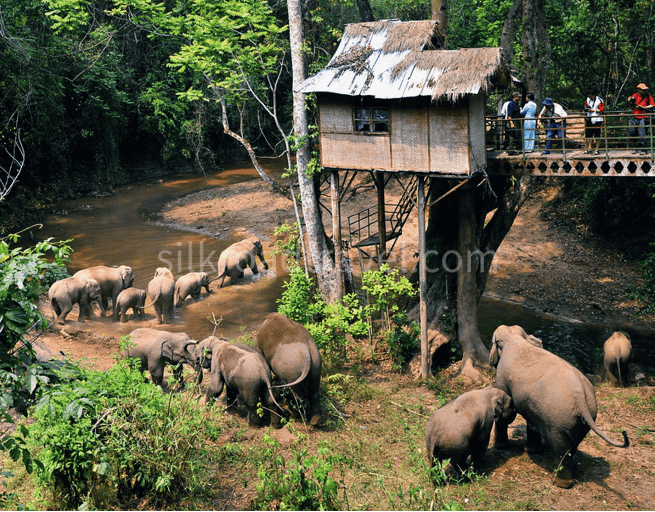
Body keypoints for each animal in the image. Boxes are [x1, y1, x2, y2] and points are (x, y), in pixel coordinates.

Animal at [490, 324, 629, 489]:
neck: (515, 338)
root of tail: (580, 398)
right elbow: (532, 419)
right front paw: (534, 451)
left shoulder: (502, 377)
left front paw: (501, 447)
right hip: (583, 418)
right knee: (570, 448)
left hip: (557, 421)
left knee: (561, 448)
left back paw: (558, 483)